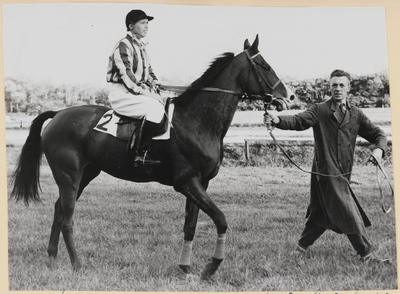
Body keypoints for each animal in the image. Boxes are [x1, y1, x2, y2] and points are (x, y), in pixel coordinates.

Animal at [10, 35, 294, 280]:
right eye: (265, 66)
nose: (288, 96)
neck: (196, 121)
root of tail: (58, 114)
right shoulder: (187, 183)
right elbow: (221, 219)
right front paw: (211, 267)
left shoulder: (200, 183)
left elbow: (190, 226)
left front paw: (186, 268)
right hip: (69, 176)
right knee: (67, 217)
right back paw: (77, 264)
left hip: (84, 175)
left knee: (59, 210)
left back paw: (53, 256)